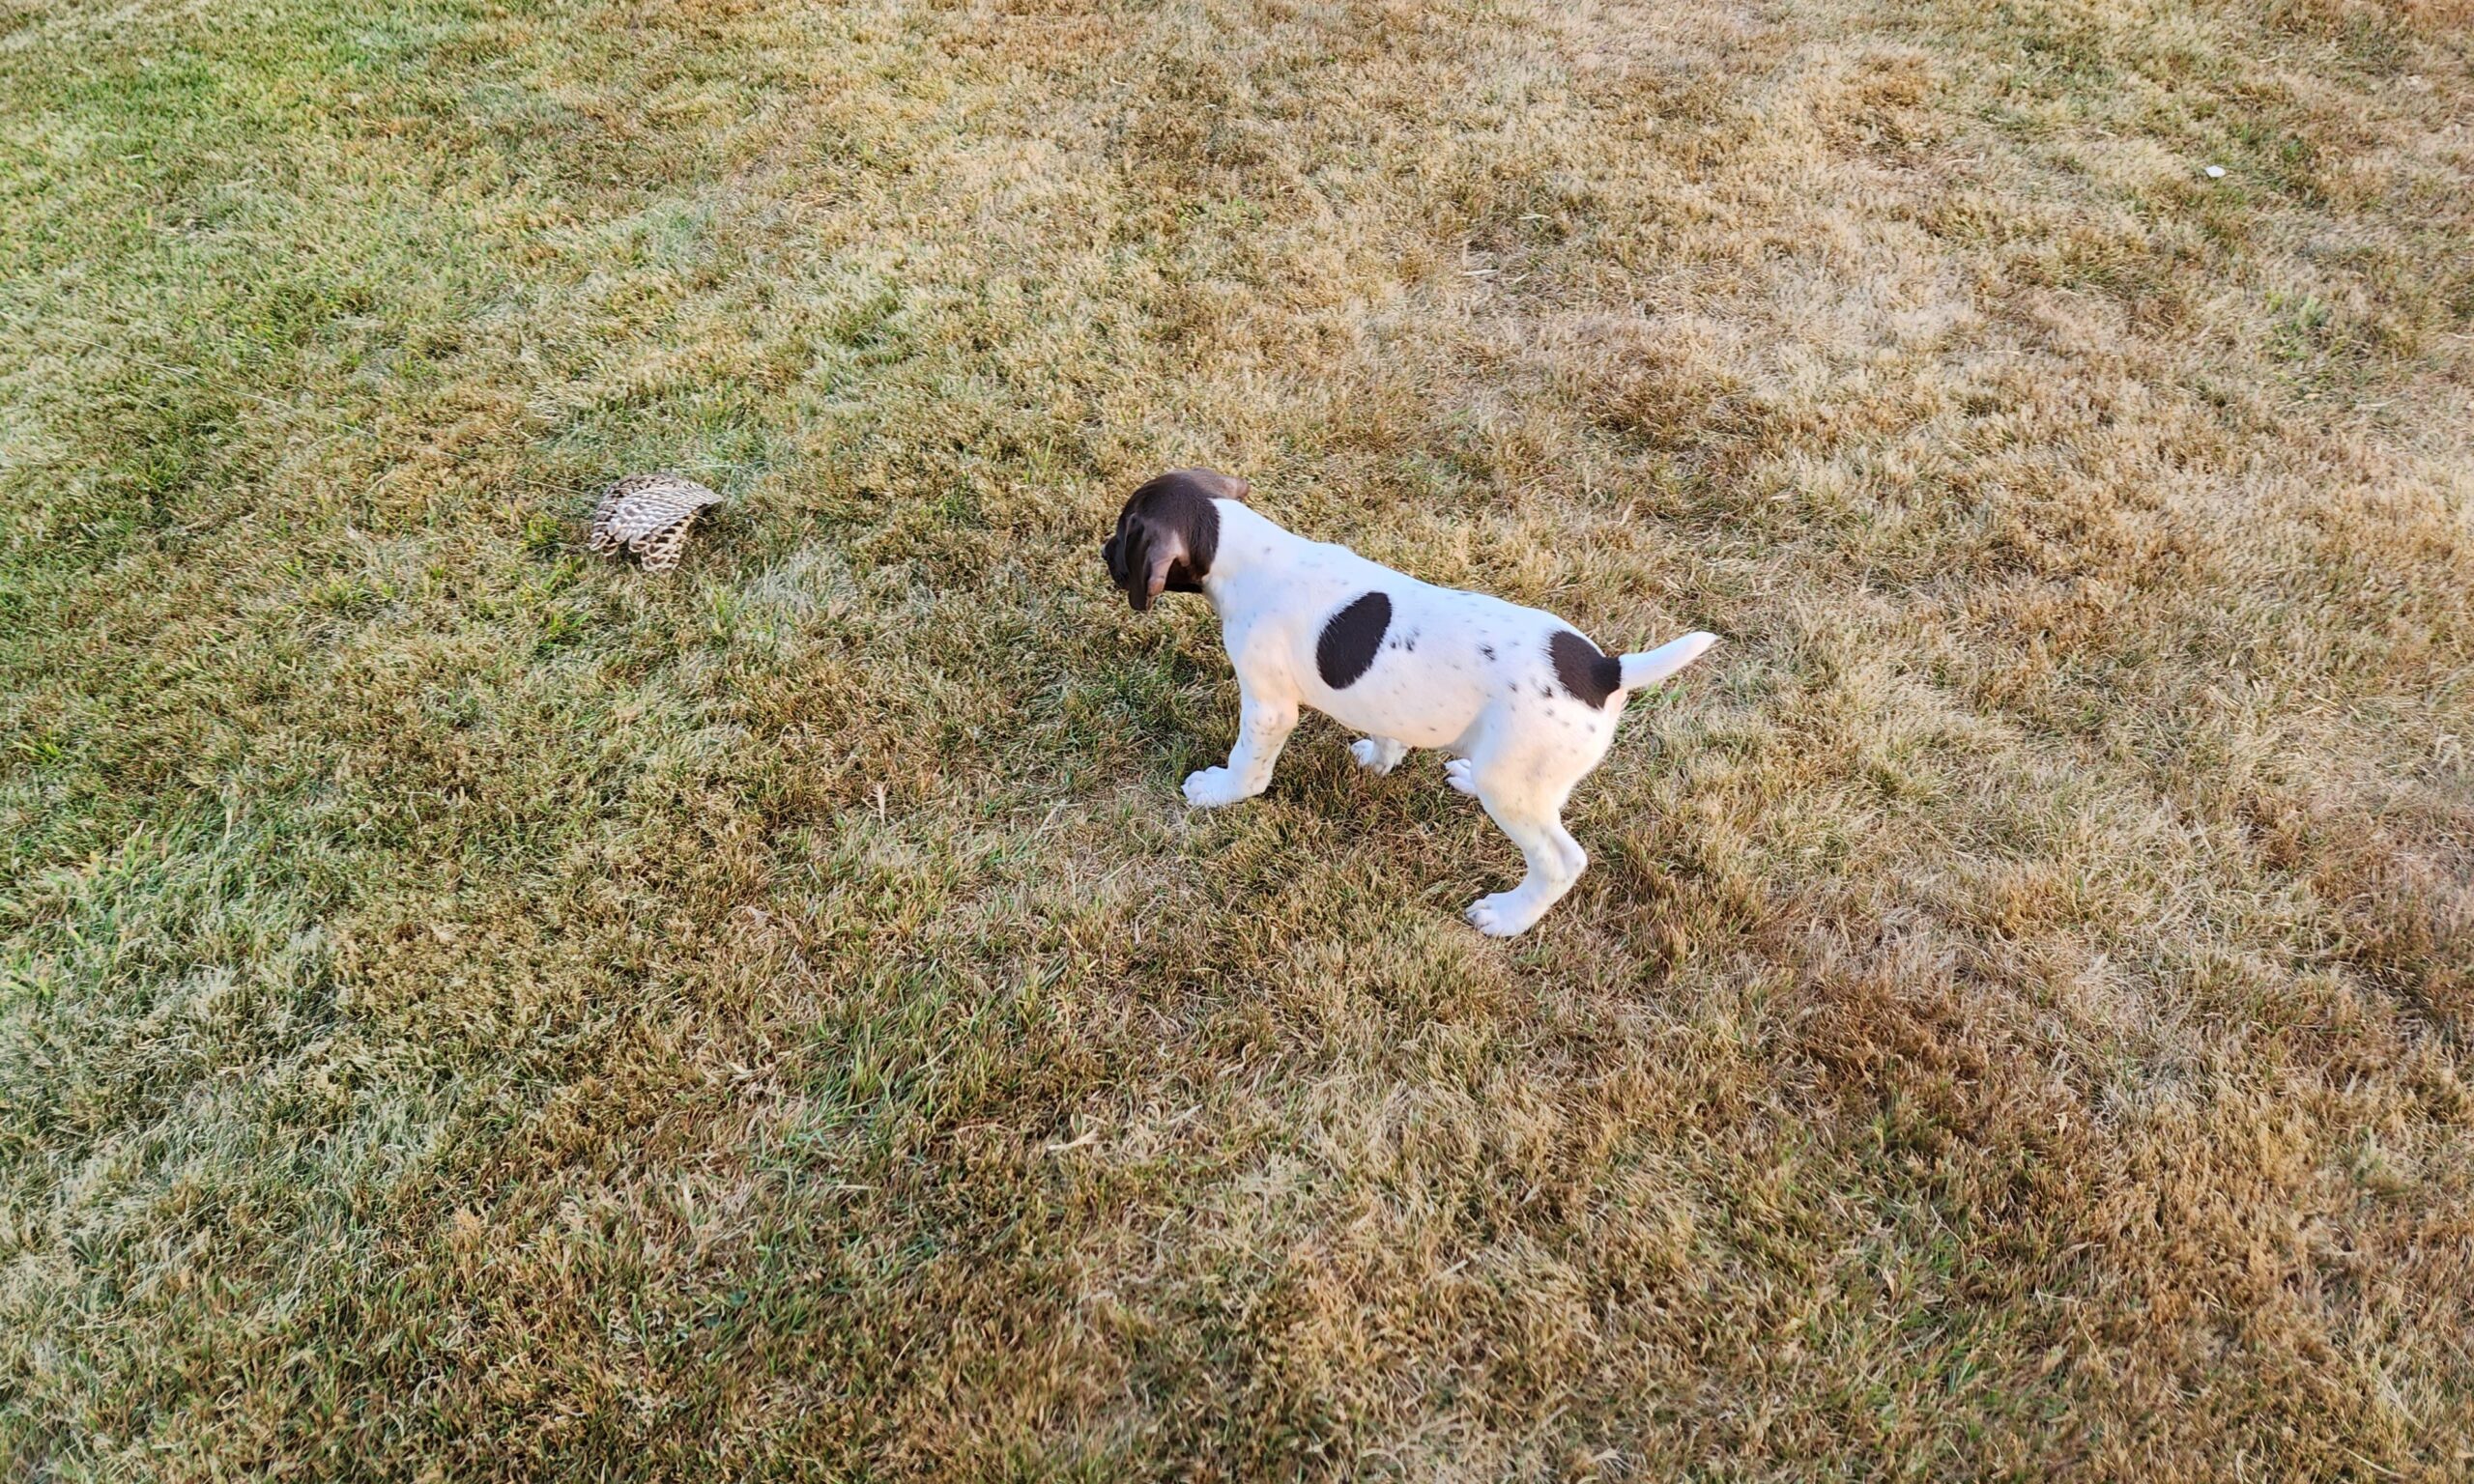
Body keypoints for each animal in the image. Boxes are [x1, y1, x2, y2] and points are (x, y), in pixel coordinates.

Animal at [1108, 470, 1721, 934]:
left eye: (1122, 532)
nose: (1102, 550)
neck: (1247, 548)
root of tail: (1604, 669)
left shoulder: (1268, 706)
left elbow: (1247, 766)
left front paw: (1218, 792)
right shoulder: (1383, 699)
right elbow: (1386, 730)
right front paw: (1380, 760)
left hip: (1518, 791)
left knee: (1560, 862)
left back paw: (1508, 916)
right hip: (1524, 772)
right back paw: (1468, 777)